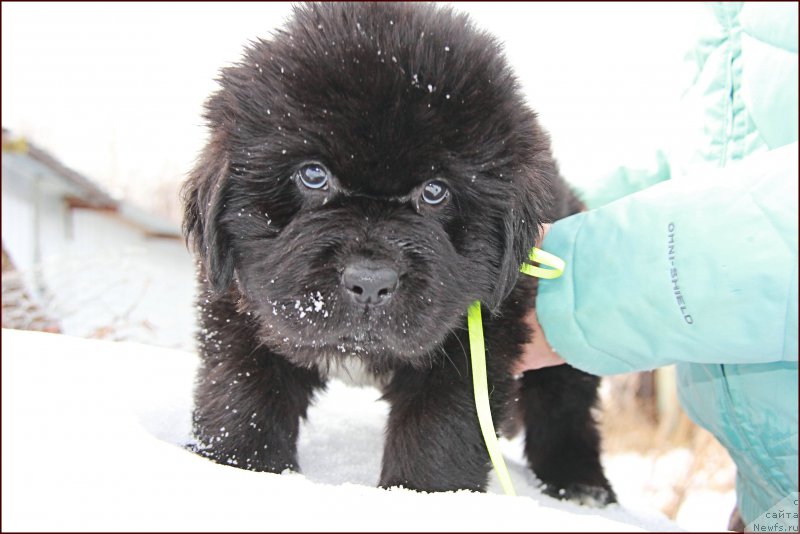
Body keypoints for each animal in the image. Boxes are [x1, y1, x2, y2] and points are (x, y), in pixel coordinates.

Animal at [184, 1, 616, 506]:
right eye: (313, 175)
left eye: (434, 191)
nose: (370, 282)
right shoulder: (239, 303)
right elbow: (243, 394)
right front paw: (238, 468)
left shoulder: (477, 336)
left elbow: (441, 430)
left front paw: (422, 497)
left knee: (564, 408)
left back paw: (581, 483)